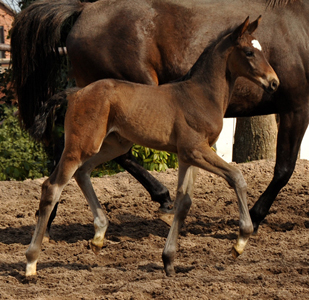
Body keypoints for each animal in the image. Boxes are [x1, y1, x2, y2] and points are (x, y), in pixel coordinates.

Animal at [10, 0, 306, 233]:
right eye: (249, 52)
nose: (274, 82)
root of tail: (84, 9)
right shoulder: (297, 108)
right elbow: (279, 169)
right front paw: (253, 219)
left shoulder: (192, 152)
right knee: (85, 159)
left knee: (77, 158)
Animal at [25, 17, 278, 276]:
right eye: (249, 52)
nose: (274, 82)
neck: (201, 95)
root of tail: (76, 93)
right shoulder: (196, 150)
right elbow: (236, 176)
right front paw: (241, 241)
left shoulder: (188, 156)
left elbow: (184, 202)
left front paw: (168, 260)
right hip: (82, 145)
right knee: (52, 187)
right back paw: (31, 262)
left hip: (113, 145)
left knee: (82, 173)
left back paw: (99, 235)